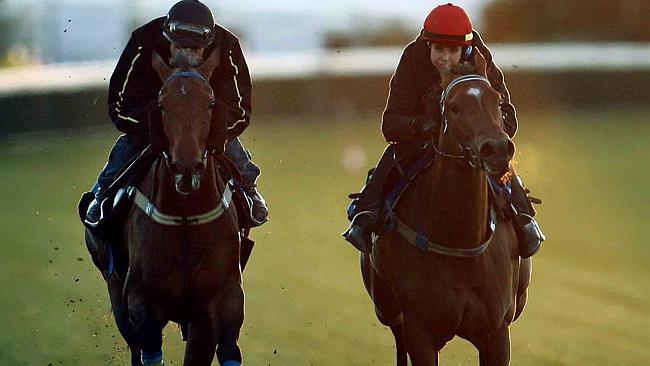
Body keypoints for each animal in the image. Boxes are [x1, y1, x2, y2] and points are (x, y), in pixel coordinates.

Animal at [82, 49, 242, 366]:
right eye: (162, 104)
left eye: (209, 103)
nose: (186, 168)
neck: (186, 215)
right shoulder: (140, 302)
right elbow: (149, 349)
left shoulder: (222, 301)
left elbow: (227, 348)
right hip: (113, 286)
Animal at [360, 50, 532, 364]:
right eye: (453, 106)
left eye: (497, 100)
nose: (497, 149)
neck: (459, 242)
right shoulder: (419, 330)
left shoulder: (497, 331)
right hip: (387, 309)